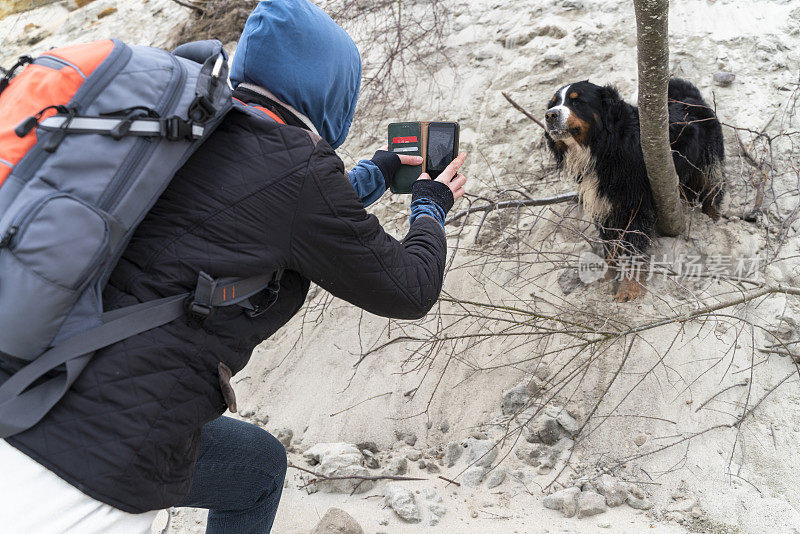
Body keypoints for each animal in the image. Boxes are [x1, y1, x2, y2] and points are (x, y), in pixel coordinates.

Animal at [544, 78, 724, 302]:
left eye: (577, 102)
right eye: (553, 103)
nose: (550, 115)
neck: (604, 147)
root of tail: (690, 95)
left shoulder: (635, 206)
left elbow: (632, 251)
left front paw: (629, 290)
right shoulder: (605, 204)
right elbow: (611, 248)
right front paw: (607, 280)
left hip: (708, 162)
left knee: (713, 189)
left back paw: (714, 219)